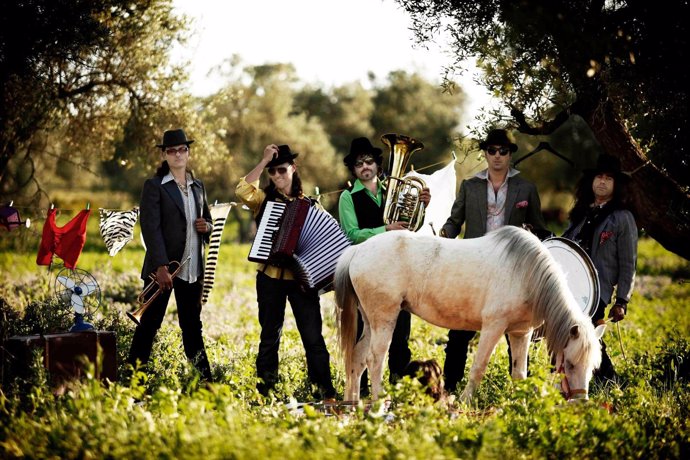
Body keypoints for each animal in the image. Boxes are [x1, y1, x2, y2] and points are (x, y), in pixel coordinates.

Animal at [334, 226, 600, 402]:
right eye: (571, 364)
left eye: (592, 367)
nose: (581, 401)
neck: (527, 274)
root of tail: (358, 250)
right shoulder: (493, 327)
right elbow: (478, 367)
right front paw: (465, 402)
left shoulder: (520, 333)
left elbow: (519, 373)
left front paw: (519, 404)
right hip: (384, 318)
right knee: (374, 359)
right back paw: (379, 401)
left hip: (370, 321)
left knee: (357, 358)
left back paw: (353, 403)